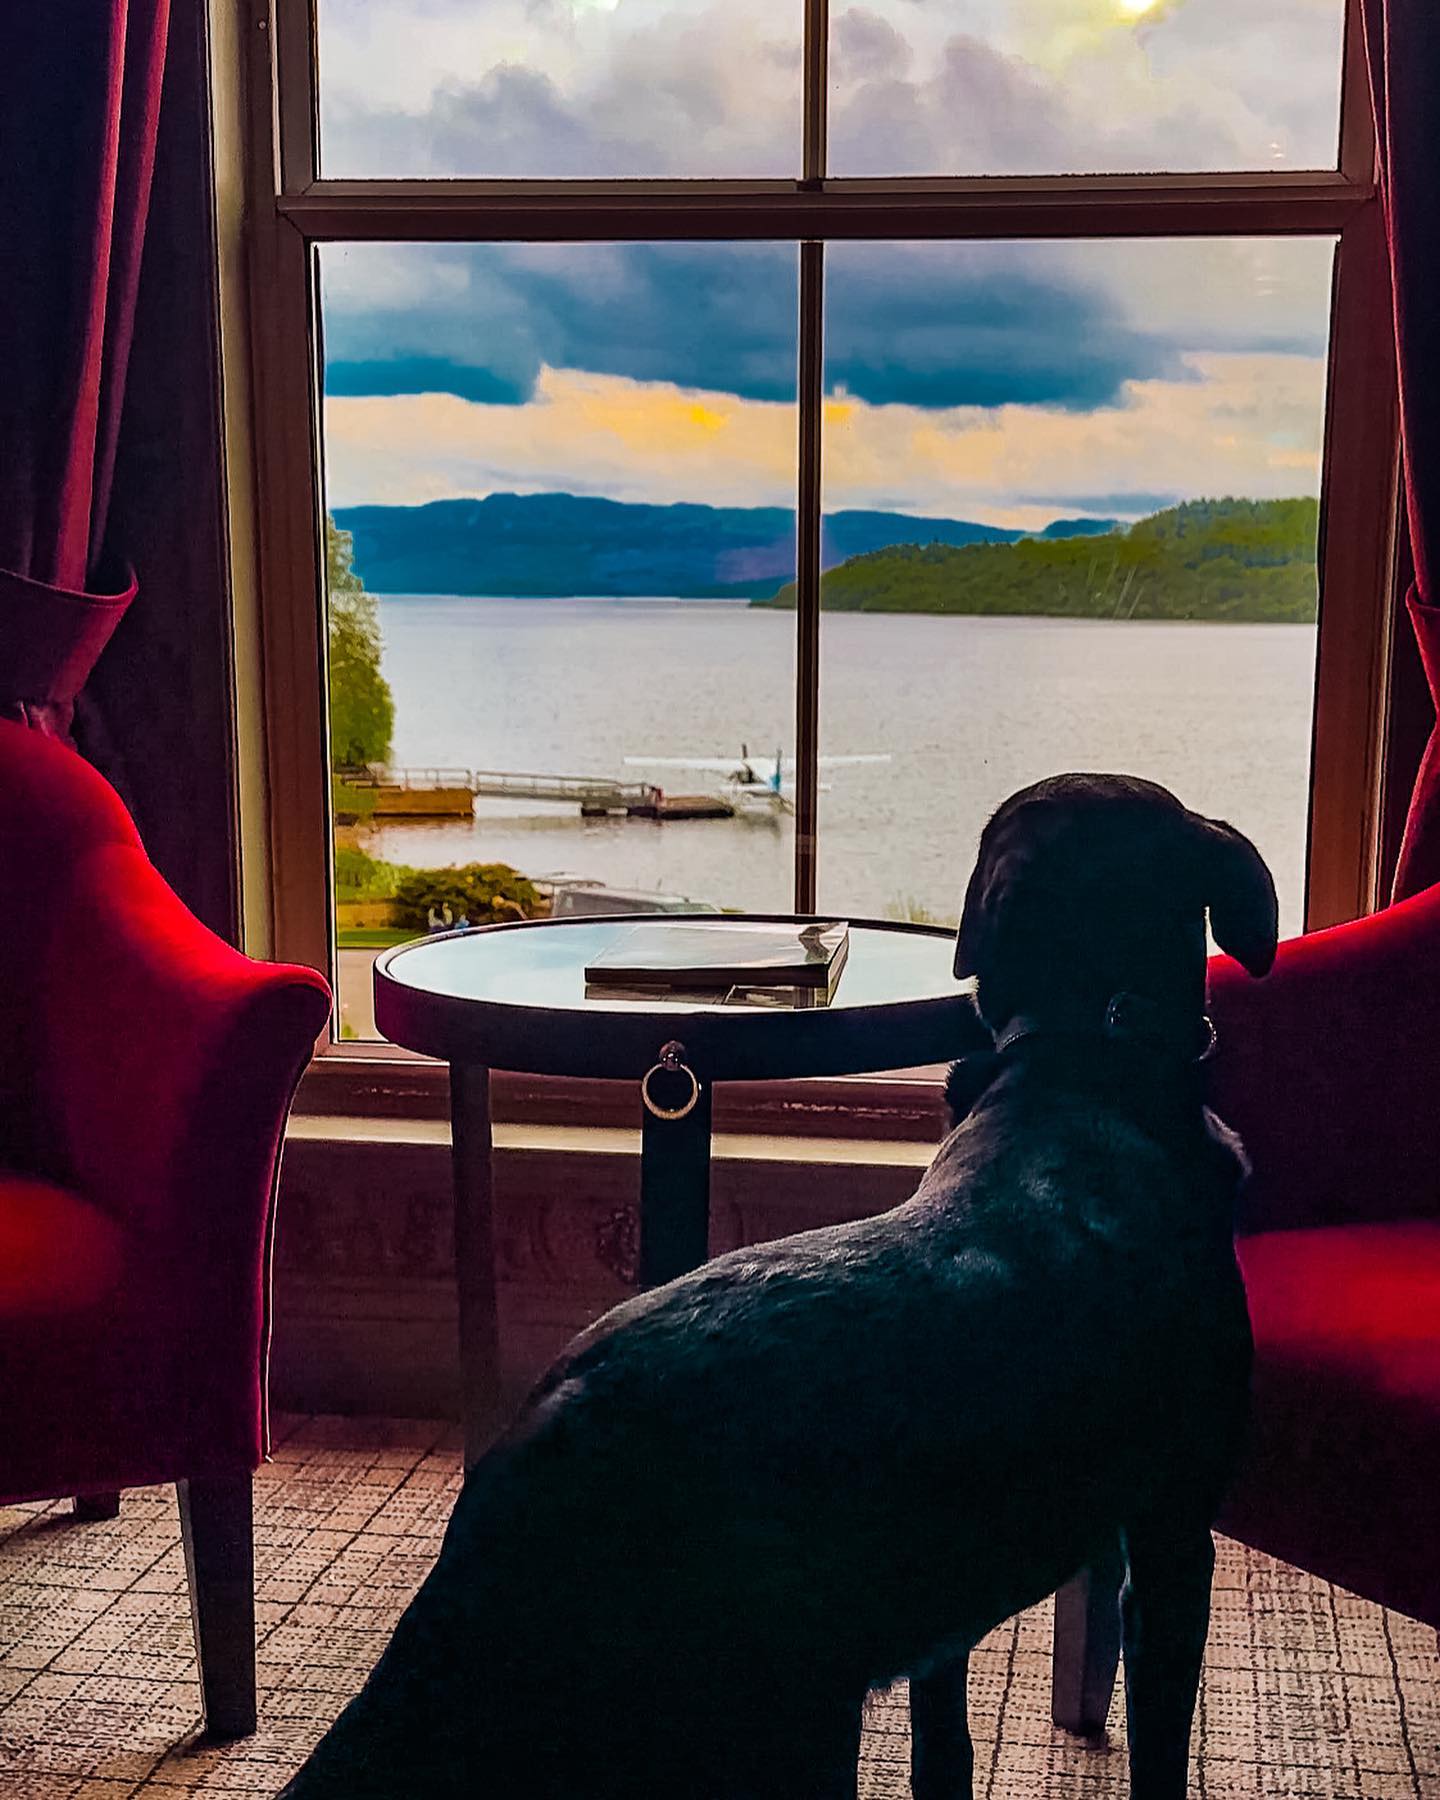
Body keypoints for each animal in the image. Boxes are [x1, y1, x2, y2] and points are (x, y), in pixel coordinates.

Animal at [279, 774, 1274, 1800]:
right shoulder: (1173, 1537)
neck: (1085, 1057)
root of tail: (538, 1459)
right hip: (784, 1727)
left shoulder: (947, 1609)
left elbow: (945, 1749)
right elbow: (1159, 1748)